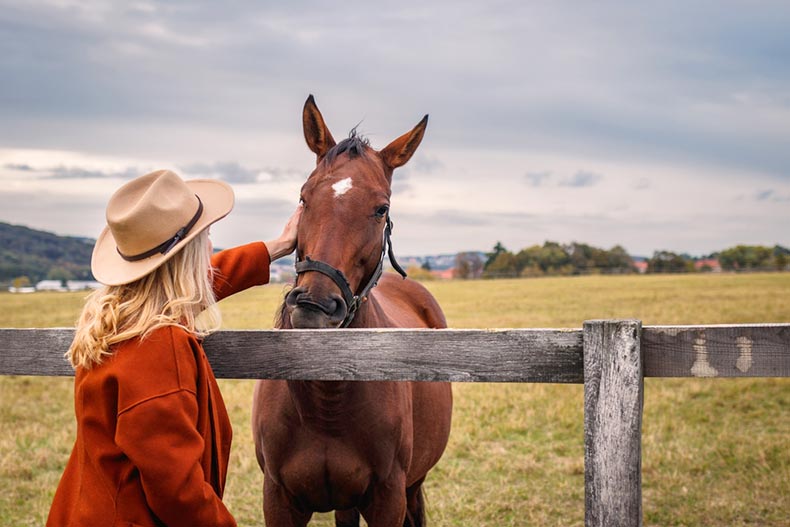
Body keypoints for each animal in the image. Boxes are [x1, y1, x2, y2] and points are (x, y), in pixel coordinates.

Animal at [251, 96, 454, 527]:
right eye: (304, 197)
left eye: (381, 209)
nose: (315, 306)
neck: (325, 403)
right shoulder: (278, 498)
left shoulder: (388, 498)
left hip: (413, 485)